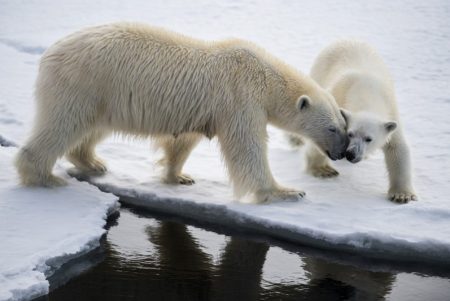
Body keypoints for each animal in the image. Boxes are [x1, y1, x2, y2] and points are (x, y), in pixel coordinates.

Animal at [14, 22, 348, 203]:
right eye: (332, 128)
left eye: (344, 125)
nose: (342, 152)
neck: (265, 76)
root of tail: (49, 53)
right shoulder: (240, 98)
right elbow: (246, 147)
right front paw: (286, 192)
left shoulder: (205, 108)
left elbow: (182, 141)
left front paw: (179, 176)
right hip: (83, 83)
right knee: (63, 124)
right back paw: (46, 178)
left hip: (101, 95)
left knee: (91, 128)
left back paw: (94, 162)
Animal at [304, 39, 416, 203]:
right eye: (350, 134)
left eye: (369, 139)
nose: (351, 154)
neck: (366, 92)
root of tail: (345, 38)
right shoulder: (337, 97)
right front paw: (323, 170)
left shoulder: (391, 112)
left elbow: (397, 148)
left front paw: (402, 195)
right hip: (320, 70)